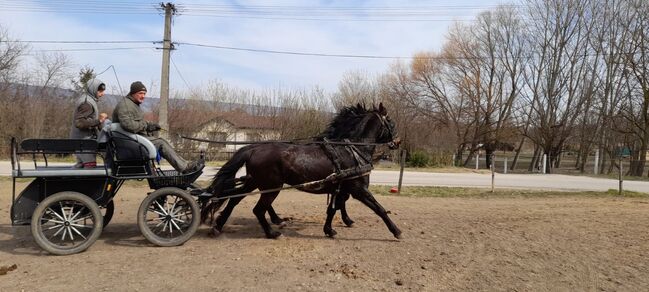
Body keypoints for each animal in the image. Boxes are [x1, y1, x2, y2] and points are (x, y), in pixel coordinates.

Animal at [201, 104, 400, 238]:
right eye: (390, 121)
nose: (398, 142)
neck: (354, 150)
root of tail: (254, 148)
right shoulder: (358, 189)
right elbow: (379, 208)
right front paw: (396, 231)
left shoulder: (340, 189)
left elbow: (333, 209)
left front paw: (330, 229)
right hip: (271, 186)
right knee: (258, 209)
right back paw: (272, 232)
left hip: (254, 182)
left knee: (235, 200)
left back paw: (218, 226)